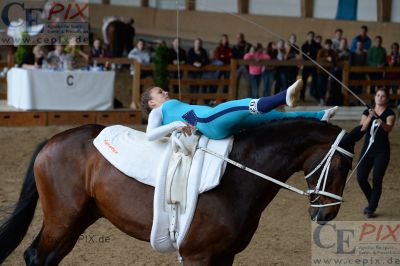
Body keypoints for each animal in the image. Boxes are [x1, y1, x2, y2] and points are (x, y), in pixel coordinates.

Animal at [0, 119, 356, 264]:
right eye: (340, 165)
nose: (328, 214)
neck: (238, 175)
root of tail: (52, 140)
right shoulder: (198, 256)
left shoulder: (225, 255)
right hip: (62, 218)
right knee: (36, 256)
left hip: (79, 219)